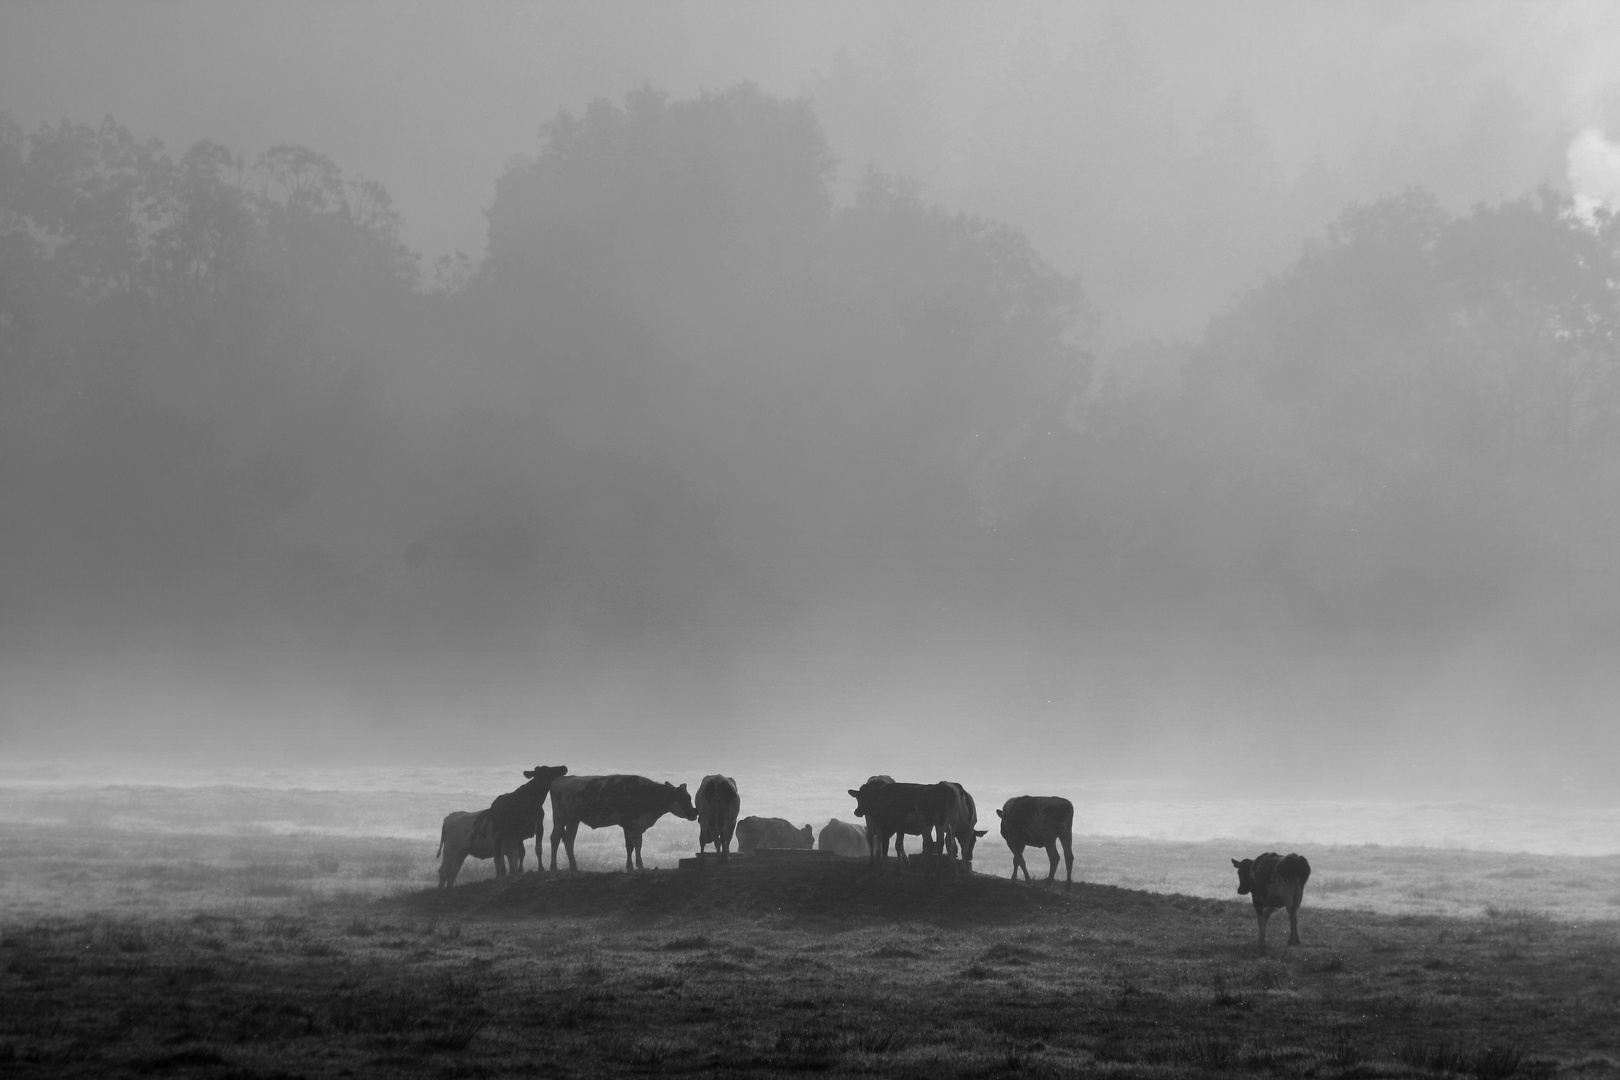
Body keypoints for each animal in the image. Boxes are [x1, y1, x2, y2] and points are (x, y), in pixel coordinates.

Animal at [550, 773, 696, 874]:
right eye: (686, 798)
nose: (694, 813)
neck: (646, 793)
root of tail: (561, 780)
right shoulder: (627, 824)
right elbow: (630, 846)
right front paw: (630, 867)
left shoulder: (638, 826)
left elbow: (638, 845)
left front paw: (640, 865)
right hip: (559, 819)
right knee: (555, 838)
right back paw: (553, 867)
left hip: (573, 820)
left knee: (569, 840)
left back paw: (574, 867)